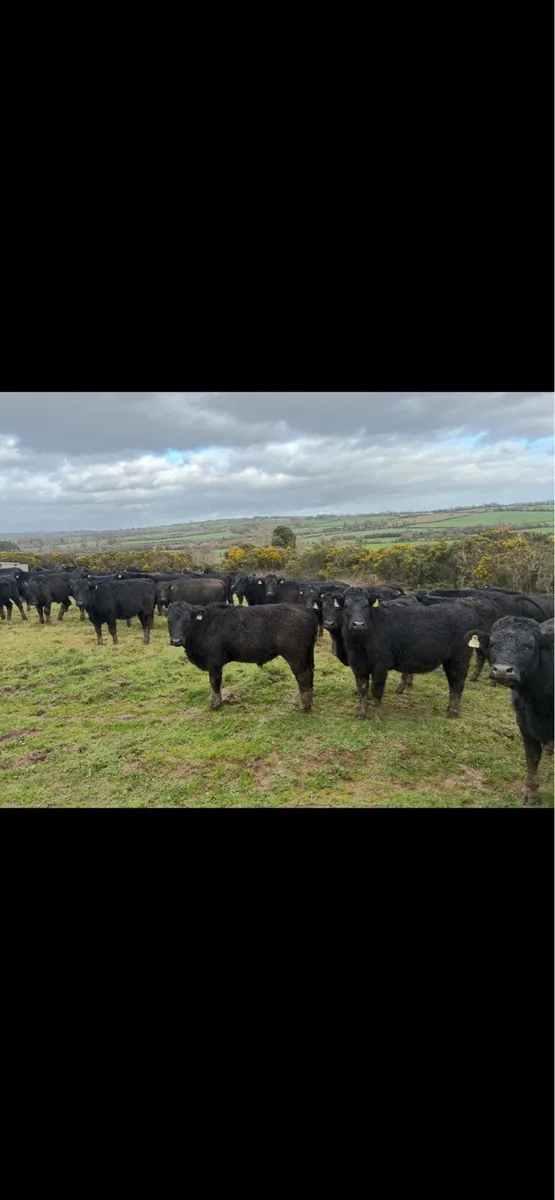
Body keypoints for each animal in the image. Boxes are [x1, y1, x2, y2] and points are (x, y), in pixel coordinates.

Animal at [167, 601, 318, 712]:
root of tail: (306, 610)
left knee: (302, 676)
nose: (176, 640)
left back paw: (303, 705)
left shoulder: (213, 662)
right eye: (169, 621)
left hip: (295, 656)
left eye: (187, 621)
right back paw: (308, 701)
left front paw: (215, 704)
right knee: (310, 673)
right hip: (307, 654)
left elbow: (214, 682)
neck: (203, 625)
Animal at [465, 617, 554, 806]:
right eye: (493, 643)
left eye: (529, 646)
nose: (502, 670)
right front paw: (532, 797)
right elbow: (532, 759)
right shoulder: (524, 725)